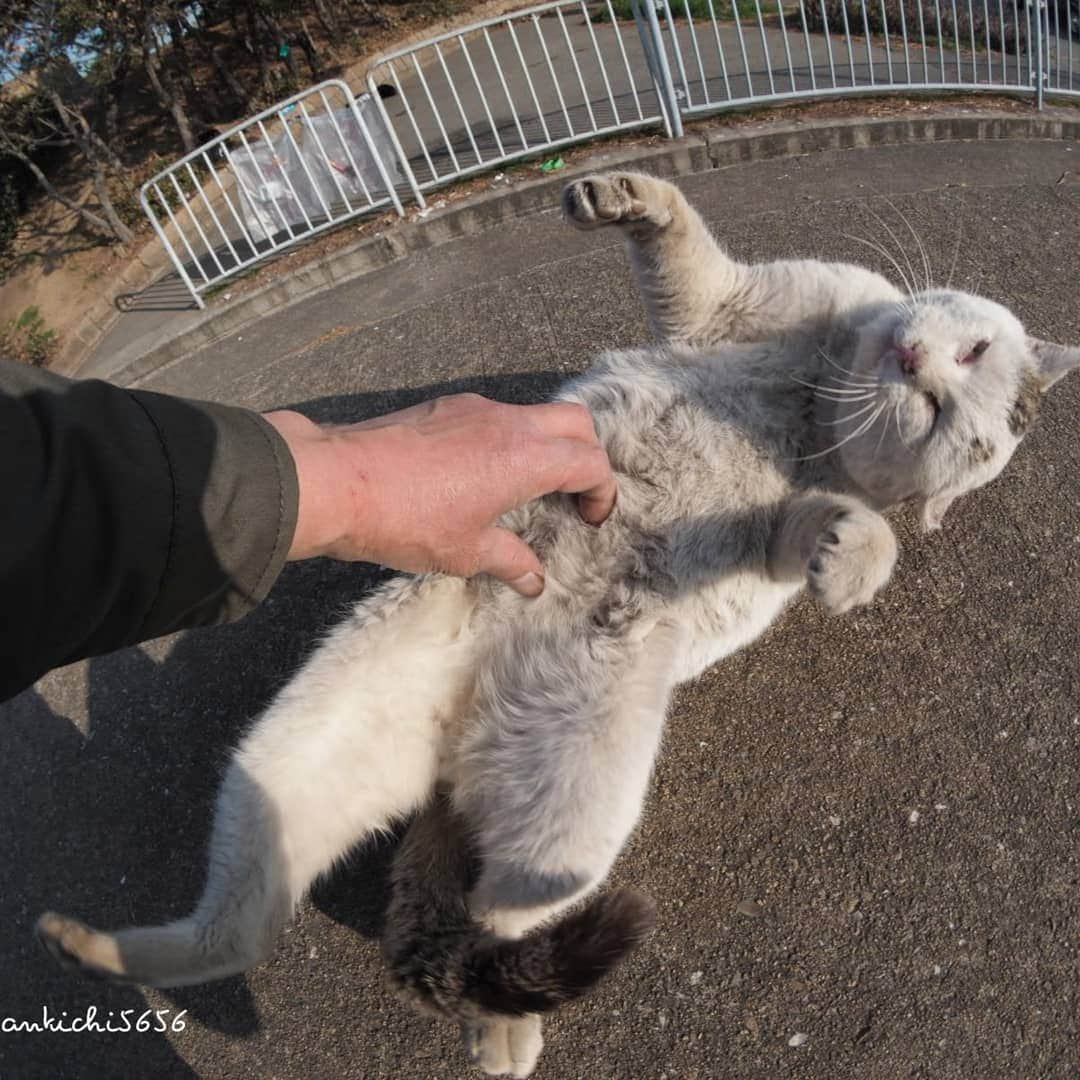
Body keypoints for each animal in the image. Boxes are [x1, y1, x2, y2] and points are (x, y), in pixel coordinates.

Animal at [38, 172, 1075, 1075]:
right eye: (963, 367)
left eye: (945, 417)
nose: (916, 364)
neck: (818, 402)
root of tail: (456, 753)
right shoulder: (726, 306)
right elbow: (679, 237)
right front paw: (625, 195)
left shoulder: (772, 533)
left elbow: (832, 530)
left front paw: (858, 554)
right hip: (307, 749)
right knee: (247, 919)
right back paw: (107, 953)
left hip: (573, 817)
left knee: (493, 930)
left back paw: (494, 1023)